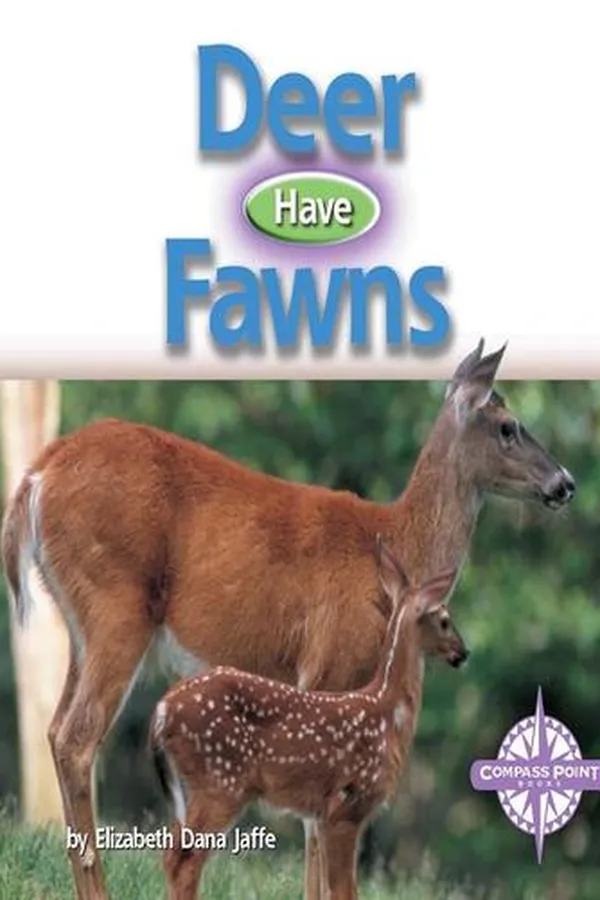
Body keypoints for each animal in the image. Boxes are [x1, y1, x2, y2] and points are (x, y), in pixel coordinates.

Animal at [149, 538, 469, 900]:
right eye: (444, 619)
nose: (463, 652)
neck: (388, 712)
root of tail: (162, 712)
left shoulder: (322, 813)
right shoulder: (345, 804)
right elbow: (343, 889)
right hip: (220, 779)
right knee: (183, 857)